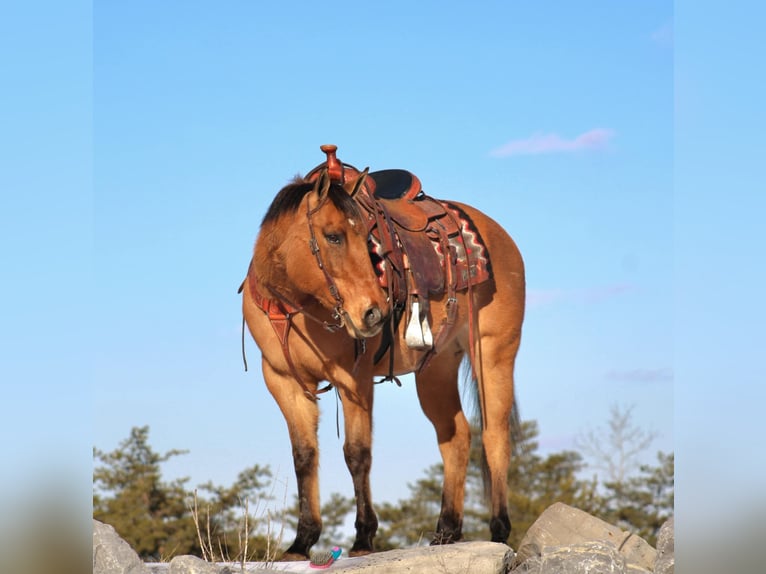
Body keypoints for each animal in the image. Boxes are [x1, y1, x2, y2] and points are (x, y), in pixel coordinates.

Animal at [242, 146, 528, 560]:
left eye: (366, 237)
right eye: (333, 236)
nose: (374, 313)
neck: (293, 305)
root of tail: (498, 235)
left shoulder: (355, 380)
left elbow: (357, 453)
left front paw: (364, 537)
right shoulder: (285, 383)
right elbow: (304, 456)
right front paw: (302, 541)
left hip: (493, 355)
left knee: (494, 435)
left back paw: (499, 529)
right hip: (436, 368)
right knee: (456, 436)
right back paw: (446, 530)